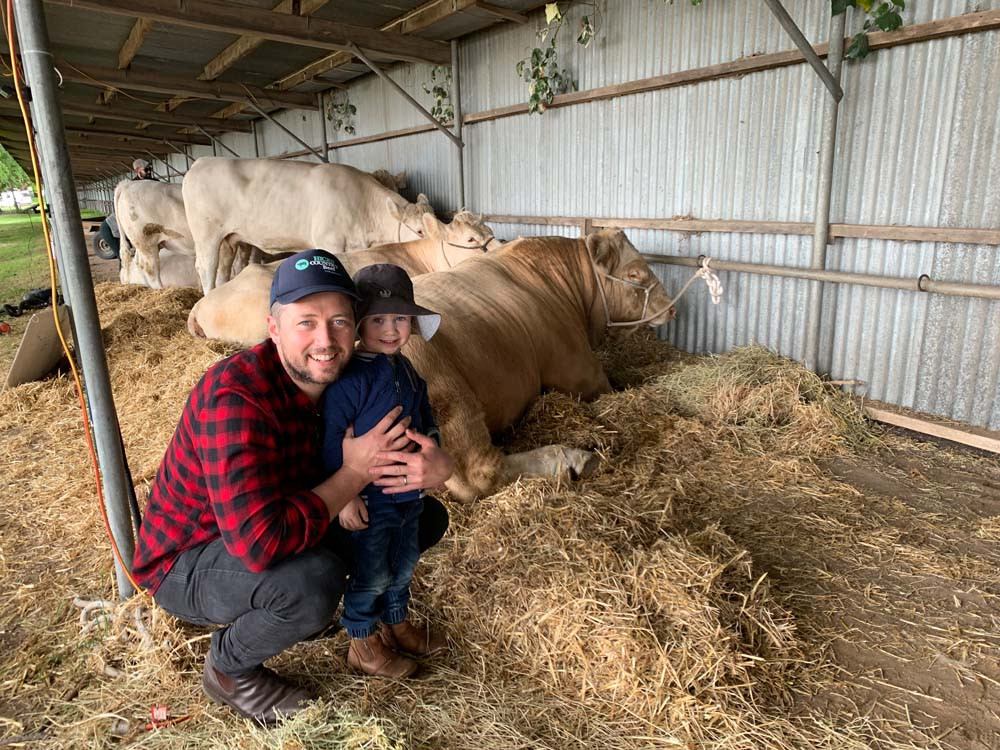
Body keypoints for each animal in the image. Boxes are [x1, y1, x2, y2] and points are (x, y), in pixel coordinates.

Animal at [184, 159, 434, 294]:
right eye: (419, 231)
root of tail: (200, 162)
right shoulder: (330, 242)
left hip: (230, 238)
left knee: (224, 269)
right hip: (207, 236)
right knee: (206, 268)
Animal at [402, 226, 676, 502]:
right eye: (634, 273)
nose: (671, 307)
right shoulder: (580, 370)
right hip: (450, 399)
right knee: (479, 475)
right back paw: (575, 458)